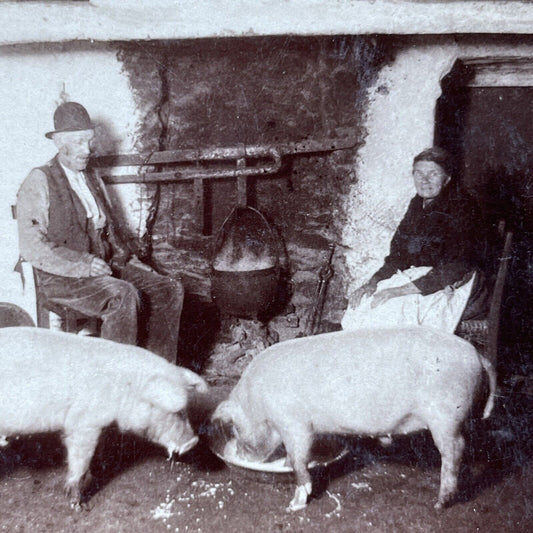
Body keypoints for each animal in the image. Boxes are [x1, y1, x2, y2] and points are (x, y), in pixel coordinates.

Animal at [0, 326, 207, 504]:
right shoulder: (84, 422)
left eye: (186, 410)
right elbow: (80, 458)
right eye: (177, 412)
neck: (127, 389)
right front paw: (78, 504)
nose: (193, 441)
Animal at [212, 324, 494, 512]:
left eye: (235, 429)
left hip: (446, 416)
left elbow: (300, 460)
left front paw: (294, 506)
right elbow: (295, 456)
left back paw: (439, 503)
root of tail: (477, 355)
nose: (240, 455)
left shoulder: (295, 423)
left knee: (455, 450)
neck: (257, 400)